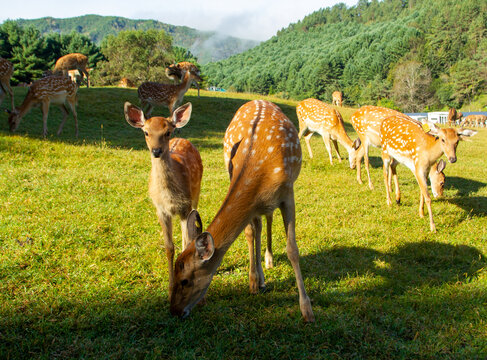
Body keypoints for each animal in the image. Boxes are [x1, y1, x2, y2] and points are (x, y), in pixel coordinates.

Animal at [126, 102, 204, 298]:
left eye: (167, 132)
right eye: (146, 132)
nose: (156, 151)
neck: (169, 197)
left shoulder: (185, 207)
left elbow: (187, 242)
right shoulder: (160, 210)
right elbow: (169, 247)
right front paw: (170, 289)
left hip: (196, 193)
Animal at [172, 100, 316, 322]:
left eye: (185, 280)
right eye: (173, 274)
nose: (174, 311)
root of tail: (259, 100)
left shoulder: (288, 193)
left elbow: (292, 249)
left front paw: (306, 309)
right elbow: (250, 233)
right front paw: (253, 282)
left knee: (268, 219)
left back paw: (269, 260)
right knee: (258, 226)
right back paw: (260, 278)